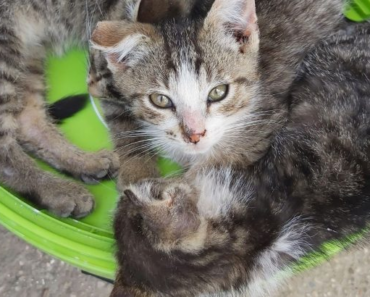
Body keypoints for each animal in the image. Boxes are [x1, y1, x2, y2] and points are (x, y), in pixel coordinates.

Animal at [0, 0, 192, 217]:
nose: (92, 90)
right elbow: (129, 132)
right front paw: (141, 181)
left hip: (28, 56)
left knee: (29, 121)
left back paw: (85, 164)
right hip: (6, 43)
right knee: (5, 152)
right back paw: (60, 190)